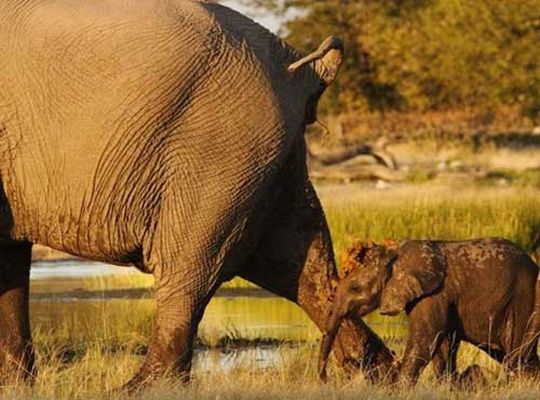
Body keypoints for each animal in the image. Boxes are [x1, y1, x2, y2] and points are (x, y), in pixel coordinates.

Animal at [0, 0, 392, 390]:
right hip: (266, 155)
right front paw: (16, 386)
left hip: (219, 149)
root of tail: (296, 67)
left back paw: (142, 387)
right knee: (296, 265)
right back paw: (378, 372)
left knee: (191, 267)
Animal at [318, 238, 536, 384]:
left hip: (523, 300)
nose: (325, 378)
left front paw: (398, 390)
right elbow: (442, 345)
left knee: (517, 354)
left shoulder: (434, 292)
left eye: (355, 289)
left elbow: (425, 340)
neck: (394, 253)